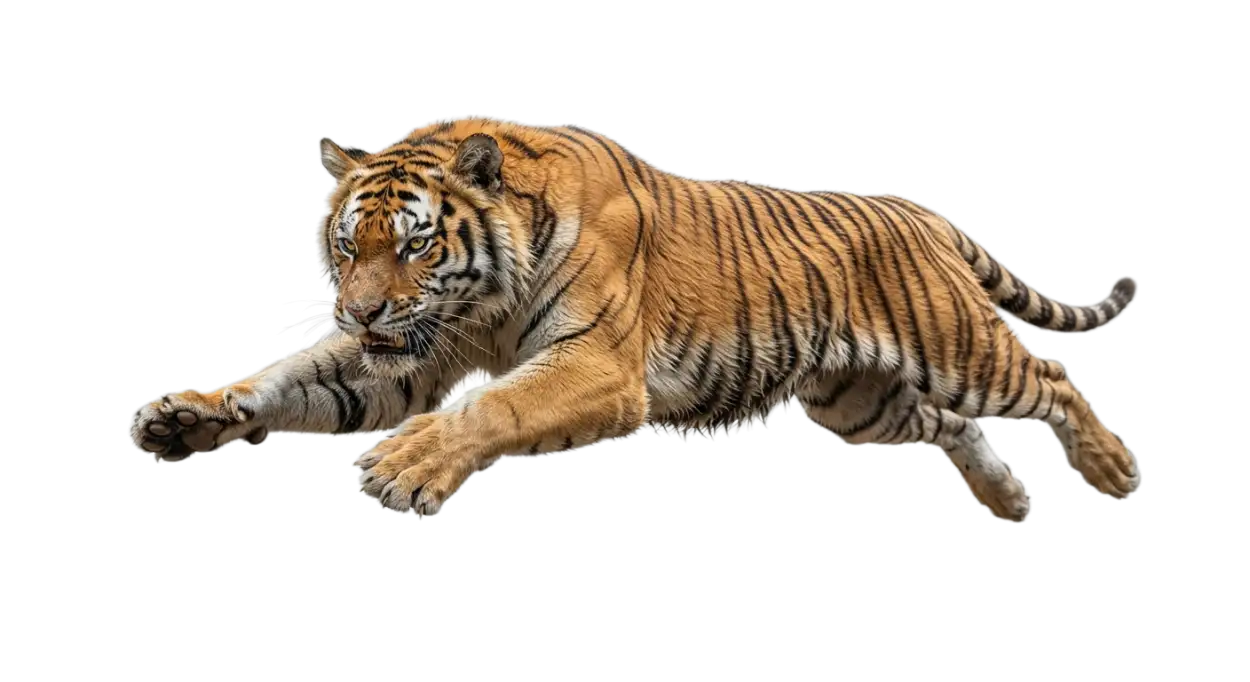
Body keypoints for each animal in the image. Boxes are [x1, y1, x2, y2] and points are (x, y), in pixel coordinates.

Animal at [127, 115, 1143, 524]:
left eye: (413, 246)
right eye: (347, 245)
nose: (363, 306)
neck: (476, 303)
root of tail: (926, 212)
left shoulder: (596, 367)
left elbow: (489, 407)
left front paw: (406, 469)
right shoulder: (406, 353)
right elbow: (288, 381)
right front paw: (186, 415)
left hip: (956, 347)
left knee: (1050, 380)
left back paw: (1112, 469)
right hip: (859, 402)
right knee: (950, 425)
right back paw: (1005, 500)